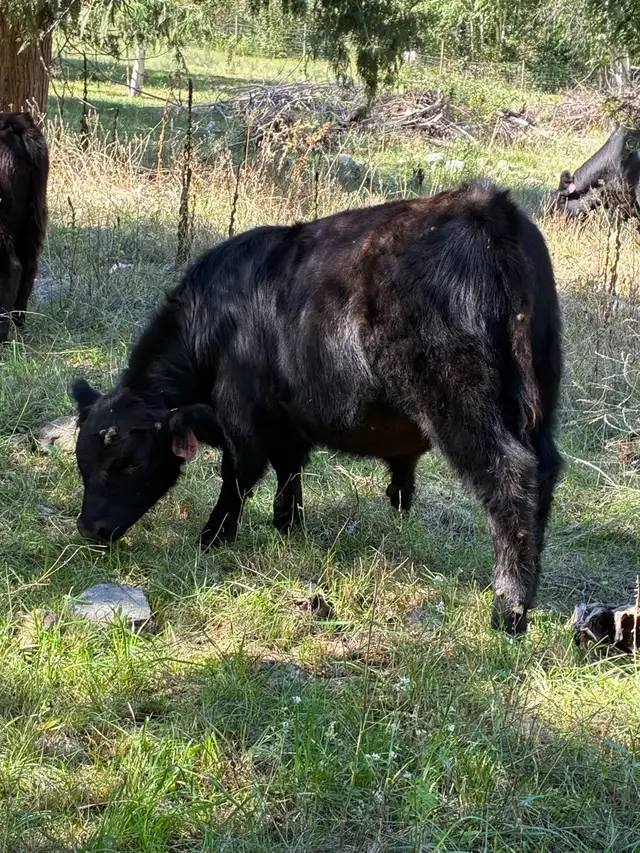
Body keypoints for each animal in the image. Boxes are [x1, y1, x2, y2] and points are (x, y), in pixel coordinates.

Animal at [70, 180, 563, 635]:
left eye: (134, 464)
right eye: (82, 462)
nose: (89, 528)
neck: (214, 319)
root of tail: (486, 205)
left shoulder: (239, 414)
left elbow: (238, 475)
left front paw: (213, 537)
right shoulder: (287, 420)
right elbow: (289, 470)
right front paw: (288, 525)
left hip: (461, 404)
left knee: (510, 478)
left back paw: (508, 609)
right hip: (537, 402)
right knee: (544, 472)